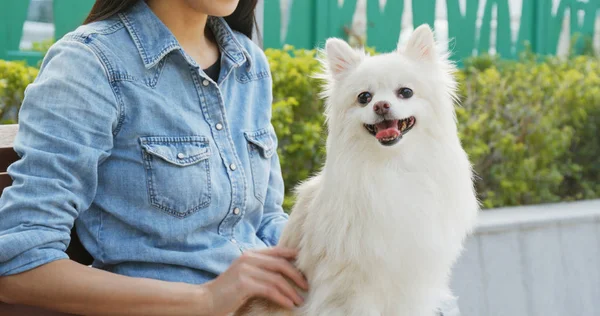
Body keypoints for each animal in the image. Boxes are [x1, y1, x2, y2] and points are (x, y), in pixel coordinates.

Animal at [237, 24, 480, 316]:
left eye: (405, 92)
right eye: (364, 97)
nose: (381, 105)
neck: (391, 166)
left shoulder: (414, 284)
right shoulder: (352, 290)